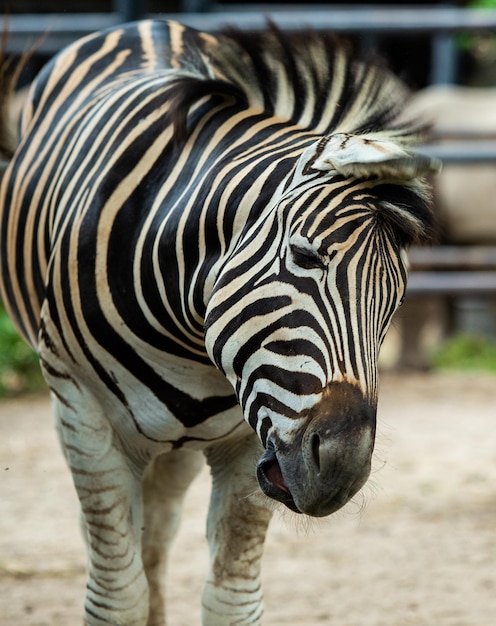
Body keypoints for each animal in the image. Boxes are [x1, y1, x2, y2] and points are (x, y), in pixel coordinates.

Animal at [0, 18, 438, 624]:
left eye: (393, 302)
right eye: (304, 255)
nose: (342, 470)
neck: (185, 335)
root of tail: (146, 22)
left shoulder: (256, 434)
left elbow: (231, 597)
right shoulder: (83, 414)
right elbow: (117, 597)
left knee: (157, 532)